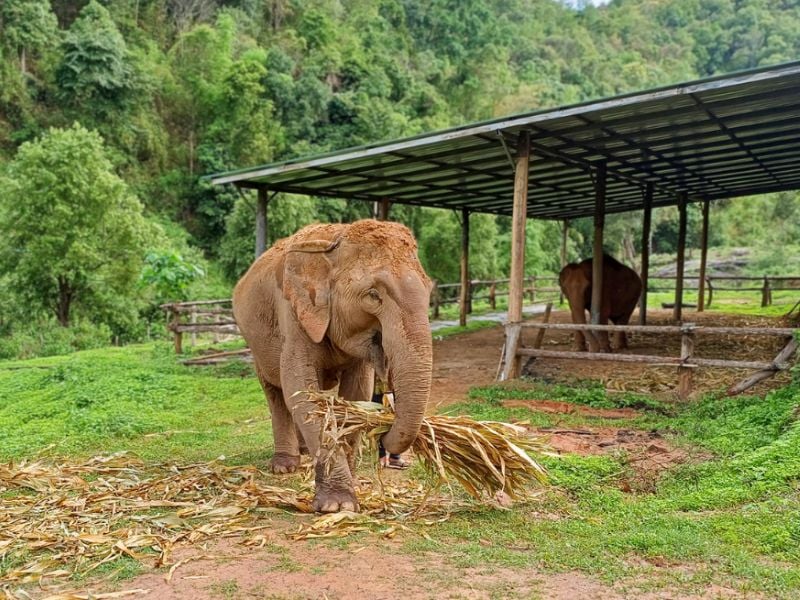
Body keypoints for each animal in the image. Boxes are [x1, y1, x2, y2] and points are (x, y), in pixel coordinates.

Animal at [232, 219, 433, 513]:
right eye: (373, 295)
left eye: (430, 291)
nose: (384, 434)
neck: (337, 237)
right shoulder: (293, 312)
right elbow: (301, 390)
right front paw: (337, 506)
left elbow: (357, 394)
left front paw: (351, 486)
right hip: (254, 344)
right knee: (275, 392)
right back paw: (285, 466)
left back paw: (304, 453)